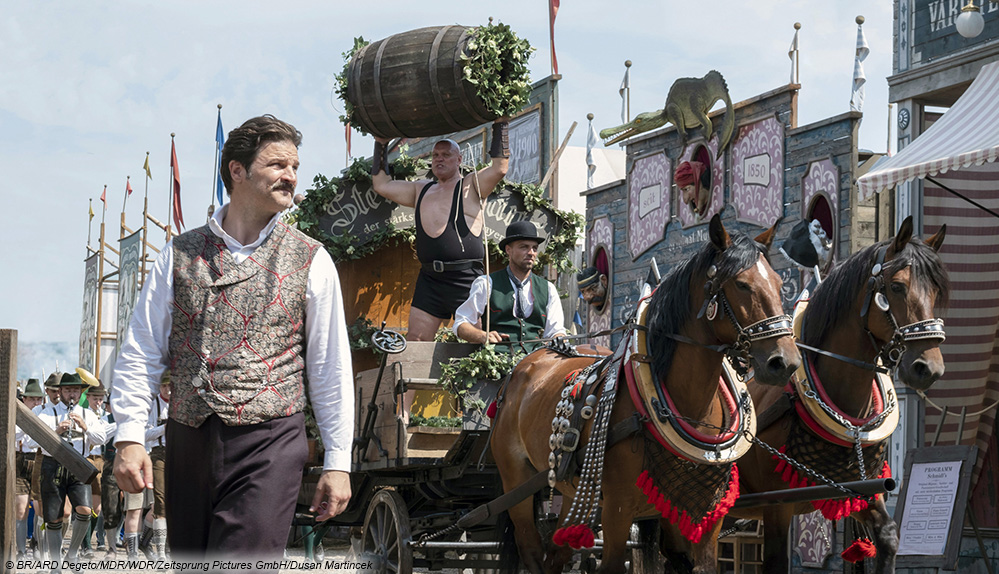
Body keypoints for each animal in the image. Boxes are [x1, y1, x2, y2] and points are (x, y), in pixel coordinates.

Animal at [494, 216, 804, 574]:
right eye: (741, 284)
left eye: (779, 284)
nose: (785, 362)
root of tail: (522, 366)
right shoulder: (617, 512)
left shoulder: (704, 515)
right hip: (516, 484)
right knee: (531, 549)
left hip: (574, 492)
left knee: (556, 553)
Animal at [740, 217, 948, 574]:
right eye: (896, 287)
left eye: (935, 290)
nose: (929, 367)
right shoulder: (776, 505)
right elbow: (776, 560)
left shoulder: (864, 488)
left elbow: (888, 537)